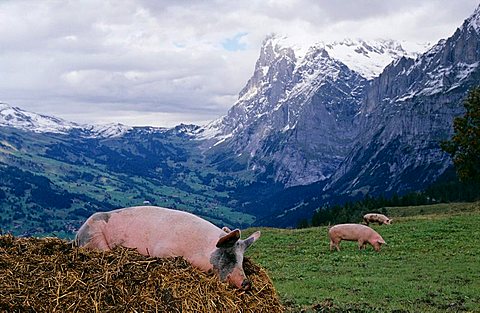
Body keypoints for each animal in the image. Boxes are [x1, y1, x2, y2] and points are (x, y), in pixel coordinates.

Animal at [74, 206, 260, 288]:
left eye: (242, 260)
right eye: (229, 256)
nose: (247, 283)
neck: (202, 250)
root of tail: (77, 235)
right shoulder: (163, 250)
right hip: (94, 235)